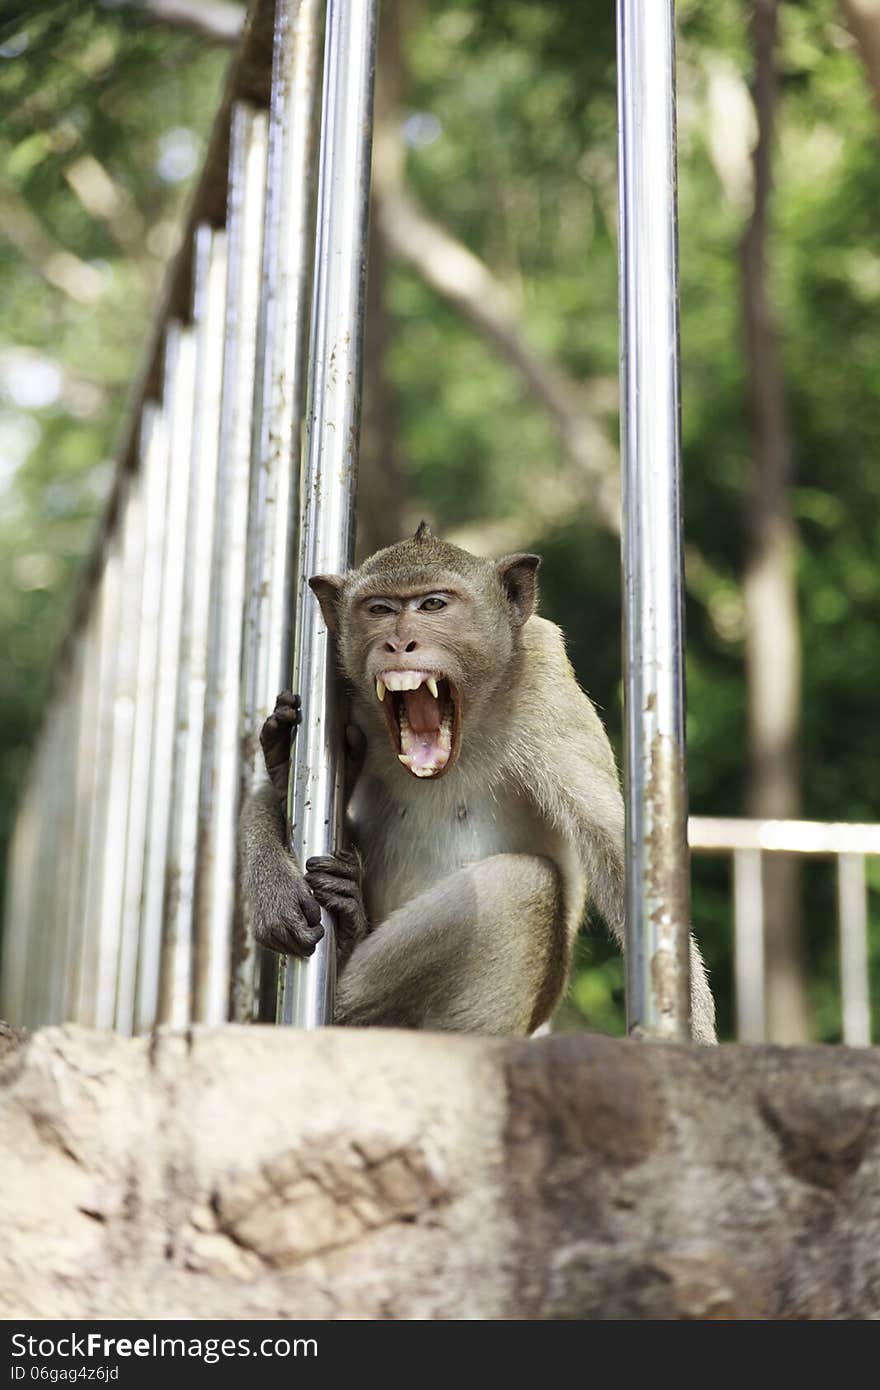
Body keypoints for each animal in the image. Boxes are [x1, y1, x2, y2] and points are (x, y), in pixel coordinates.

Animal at [240, 522, 711, 1045]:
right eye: (379, 610)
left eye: (432, 605)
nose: (398, 644)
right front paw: (274, 886)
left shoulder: (546, 687)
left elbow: (618, 853)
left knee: (525, 883)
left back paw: (349, 934)